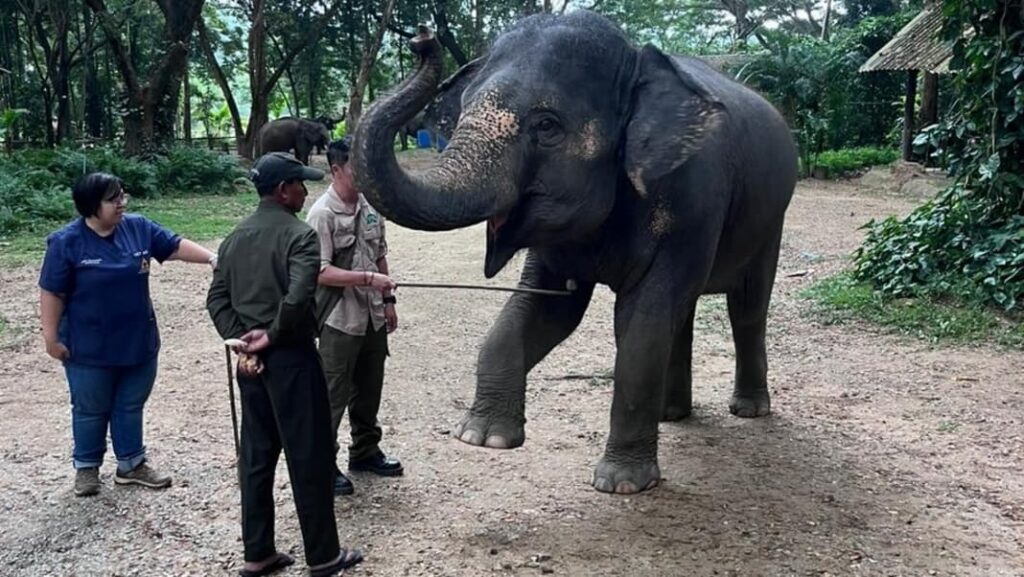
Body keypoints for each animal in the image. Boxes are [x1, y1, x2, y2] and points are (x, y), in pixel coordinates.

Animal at [354, 16, 798, 496]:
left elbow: (642, 322)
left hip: (771, 219)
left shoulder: (690, 202)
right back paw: (671, 416)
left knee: (745, 307)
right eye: (462, 108)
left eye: (547, 125)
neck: (636, 61)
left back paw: (748, 409)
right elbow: (549, 308)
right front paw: (482, 437)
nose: (422, 38)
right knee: (683, 314)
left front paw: (622, 484)